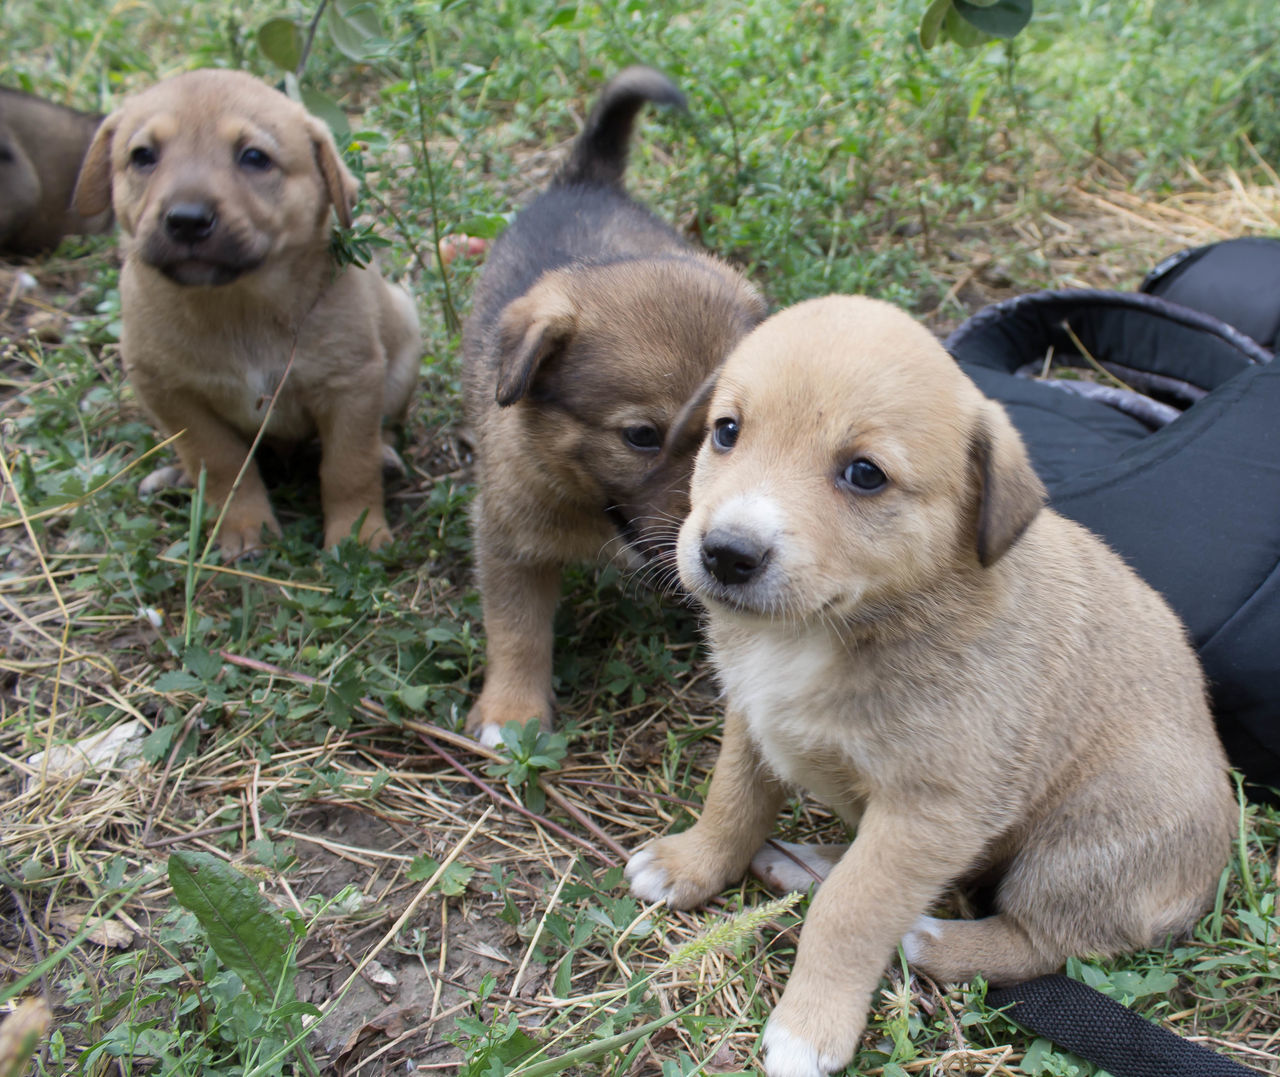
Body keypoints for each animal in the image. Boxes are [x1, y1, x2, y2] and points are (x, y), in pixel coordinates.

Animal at [72, 69, 419, 555]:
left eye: (254, 157)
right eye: (142, 156)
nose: (187, 219)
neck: (238, 306)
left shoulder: (351, 384)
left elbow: (349, 466)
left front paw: (358, 535)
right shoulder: (171, 395)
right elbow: (220, 462)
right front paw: (243, 526)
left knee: (382, 429)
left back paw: (385, 456)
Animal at [463, 63, 762, 742]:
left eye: (729, 430)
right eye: (641, 437)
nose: (718, 550)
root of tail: (585, 178)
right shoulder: (507, 539)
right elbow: (516, 630)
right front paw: (512, 715)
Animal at [624, 294, 1233, 1075]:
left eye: (865, 474)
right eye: (727, 431)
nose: (727, 553)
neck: (826, 633)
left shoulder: (931, 810)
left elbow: (852, 911)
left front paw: (810, 1026)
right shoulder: (753, 723)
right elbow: (732, 802)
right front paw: (690, 865)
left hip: (1080, 844)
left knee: (1037, 942)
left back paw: (931, 938)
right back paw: (806, 863)